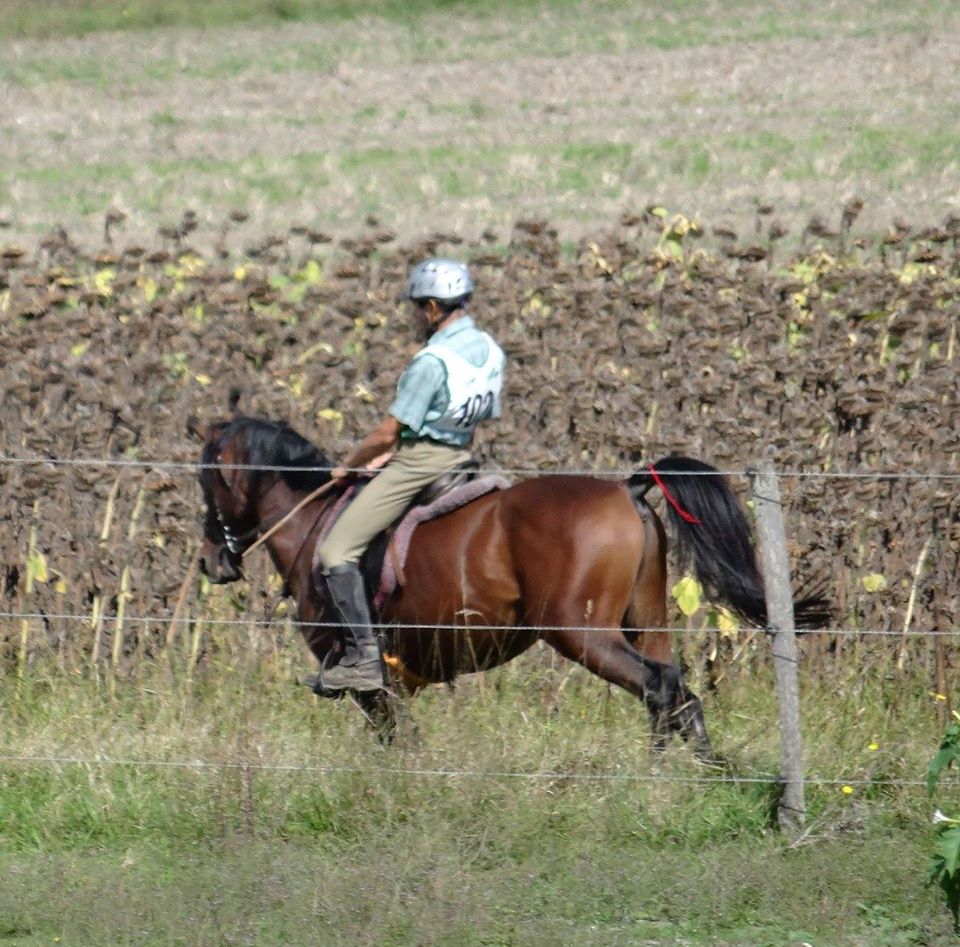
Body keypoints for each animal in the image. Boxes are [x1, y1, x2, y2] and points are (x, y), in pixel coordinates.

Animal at [193, 414, 824, 756]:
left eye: (205, 477)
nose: (210, 563)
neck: (312, 520)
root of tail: (627, 488)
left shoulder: (375, 686)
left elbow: (397, 743)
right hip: (645, 624)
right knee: (675, 695)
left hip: (582, 635)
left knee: (660, 688)